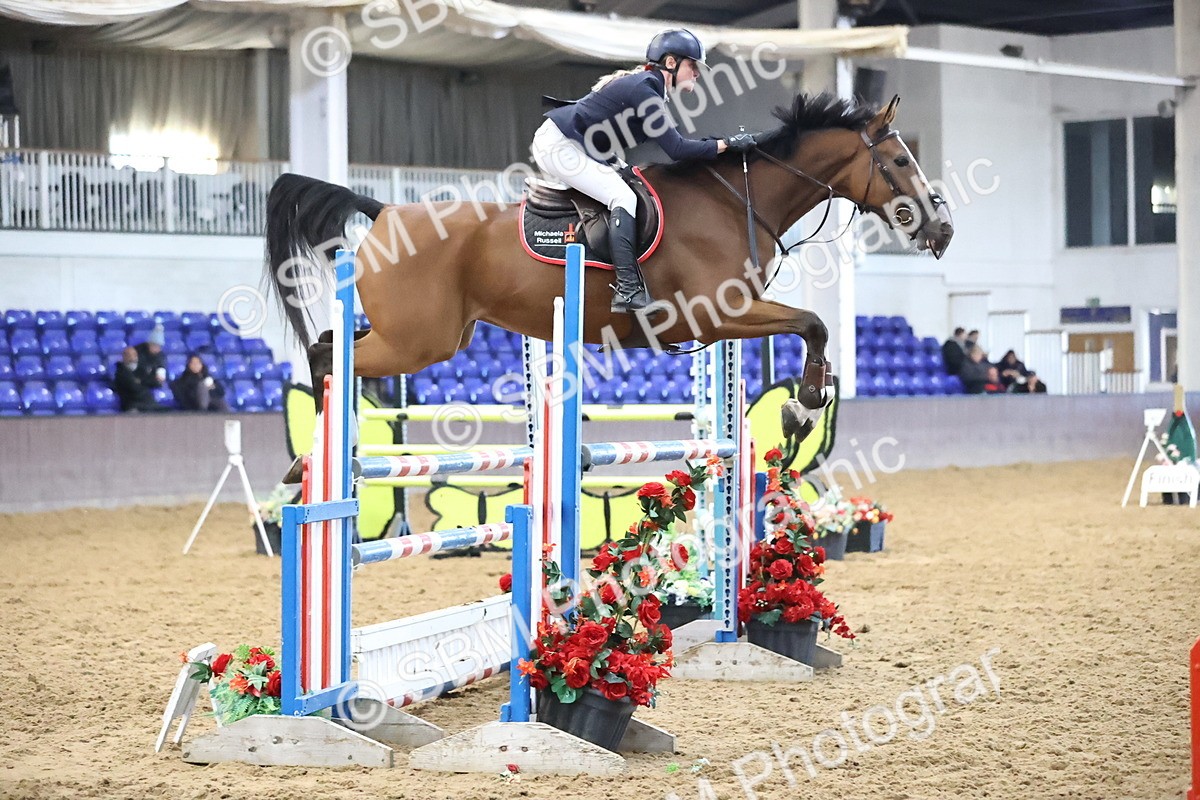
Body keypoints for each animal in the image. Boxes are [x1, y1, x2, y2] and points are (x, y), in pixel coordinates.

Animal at [265, 92, 953, 450]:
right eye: (899, 159)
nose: (942, 230)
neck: (736, 199)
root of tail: (381, 209)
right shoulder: (720, 315)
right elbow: (815, 323)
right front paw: (802, 410)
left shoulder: (726, 323)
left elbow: (813, 333)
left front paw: (804, 406)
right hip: (419, 342)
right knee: (330, 359)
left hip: (429, 334)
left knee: (327, 346)